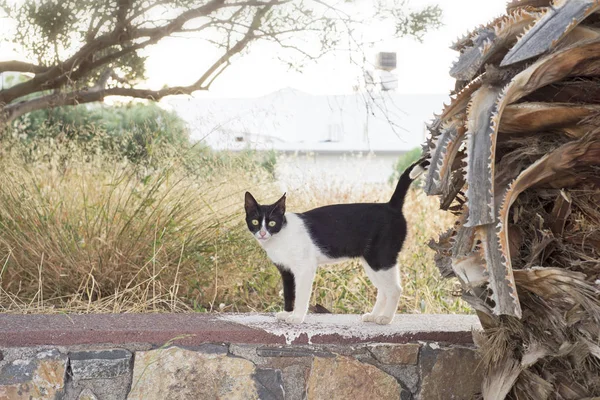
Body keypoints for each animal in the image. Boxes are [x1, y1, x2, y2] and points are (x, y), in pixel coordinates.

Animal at [241, 160, 424, 324]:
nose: (263, 233)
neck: (280, 236)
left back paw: (386, 318)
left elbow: (300, 295)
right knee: (383, 290)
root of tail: (391, 205)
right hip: (372, 263)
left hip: (381, 259)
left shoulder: (305, 268)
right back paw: (374, 316)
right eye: (255, 222)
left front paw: (297, 317)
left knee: (394, 289)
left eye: (272, 223)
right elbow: (289, 294)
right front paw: (287, 313)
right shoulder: (286, 271)